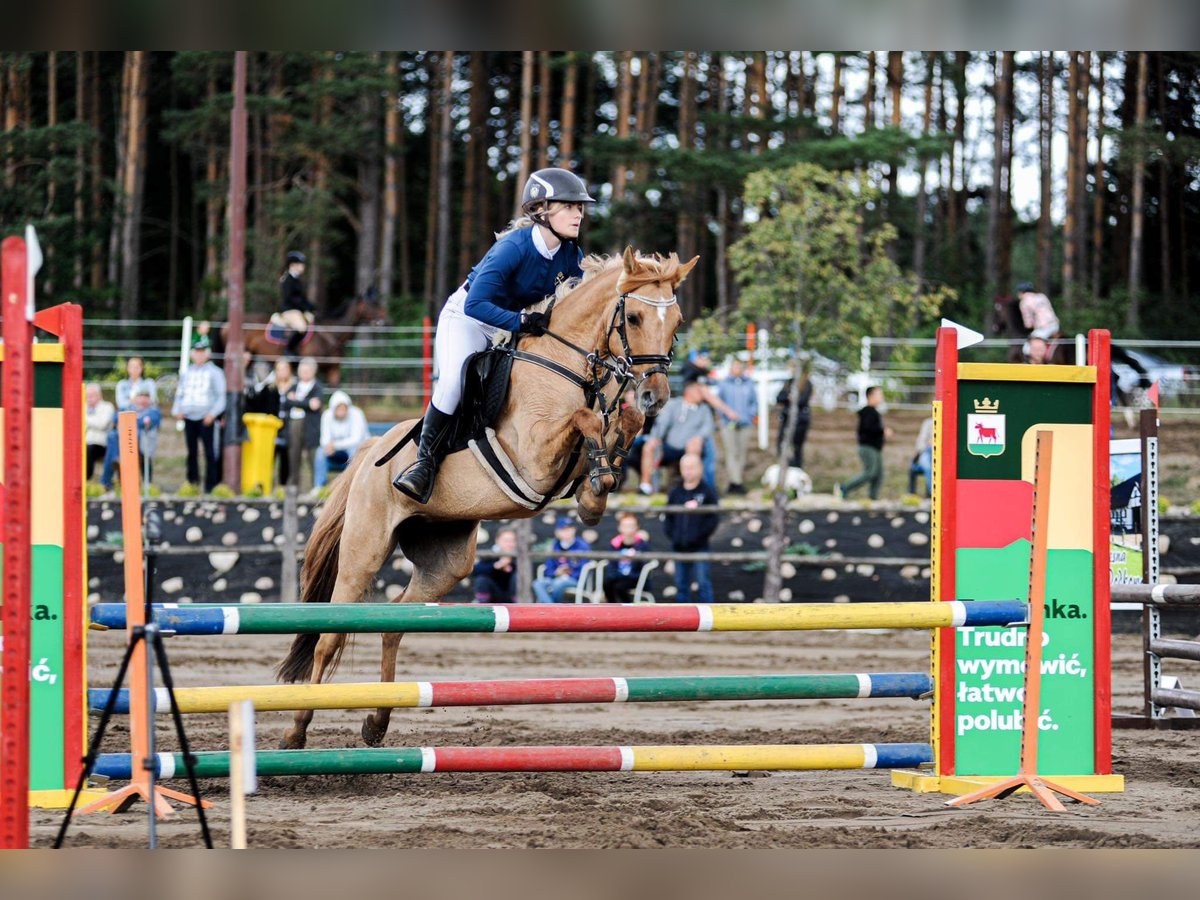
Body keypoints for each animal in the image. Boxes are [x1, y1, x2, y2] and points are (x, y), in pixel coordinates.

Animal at [208, 292, 388, 384]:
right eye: (373, 304)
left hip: (250, 358)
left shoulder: (333, 370)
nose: (386, 322)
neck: (330, 334)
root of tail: (229, 320)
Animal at [273, 250, 696, 748]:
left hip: (446, 560)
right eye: (633, 317)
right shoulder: (533, 457)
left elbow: (622, 422)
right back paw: (296, 730)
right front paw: (597, 478)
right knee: (330, 636)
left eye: (677, 321)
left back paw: (377, 722)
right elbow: (585, 418)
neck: (566, 363)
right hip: (364, 548)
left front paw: (597, 491)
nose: (655, 396)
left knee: (395, 622)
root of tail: (369, 451)